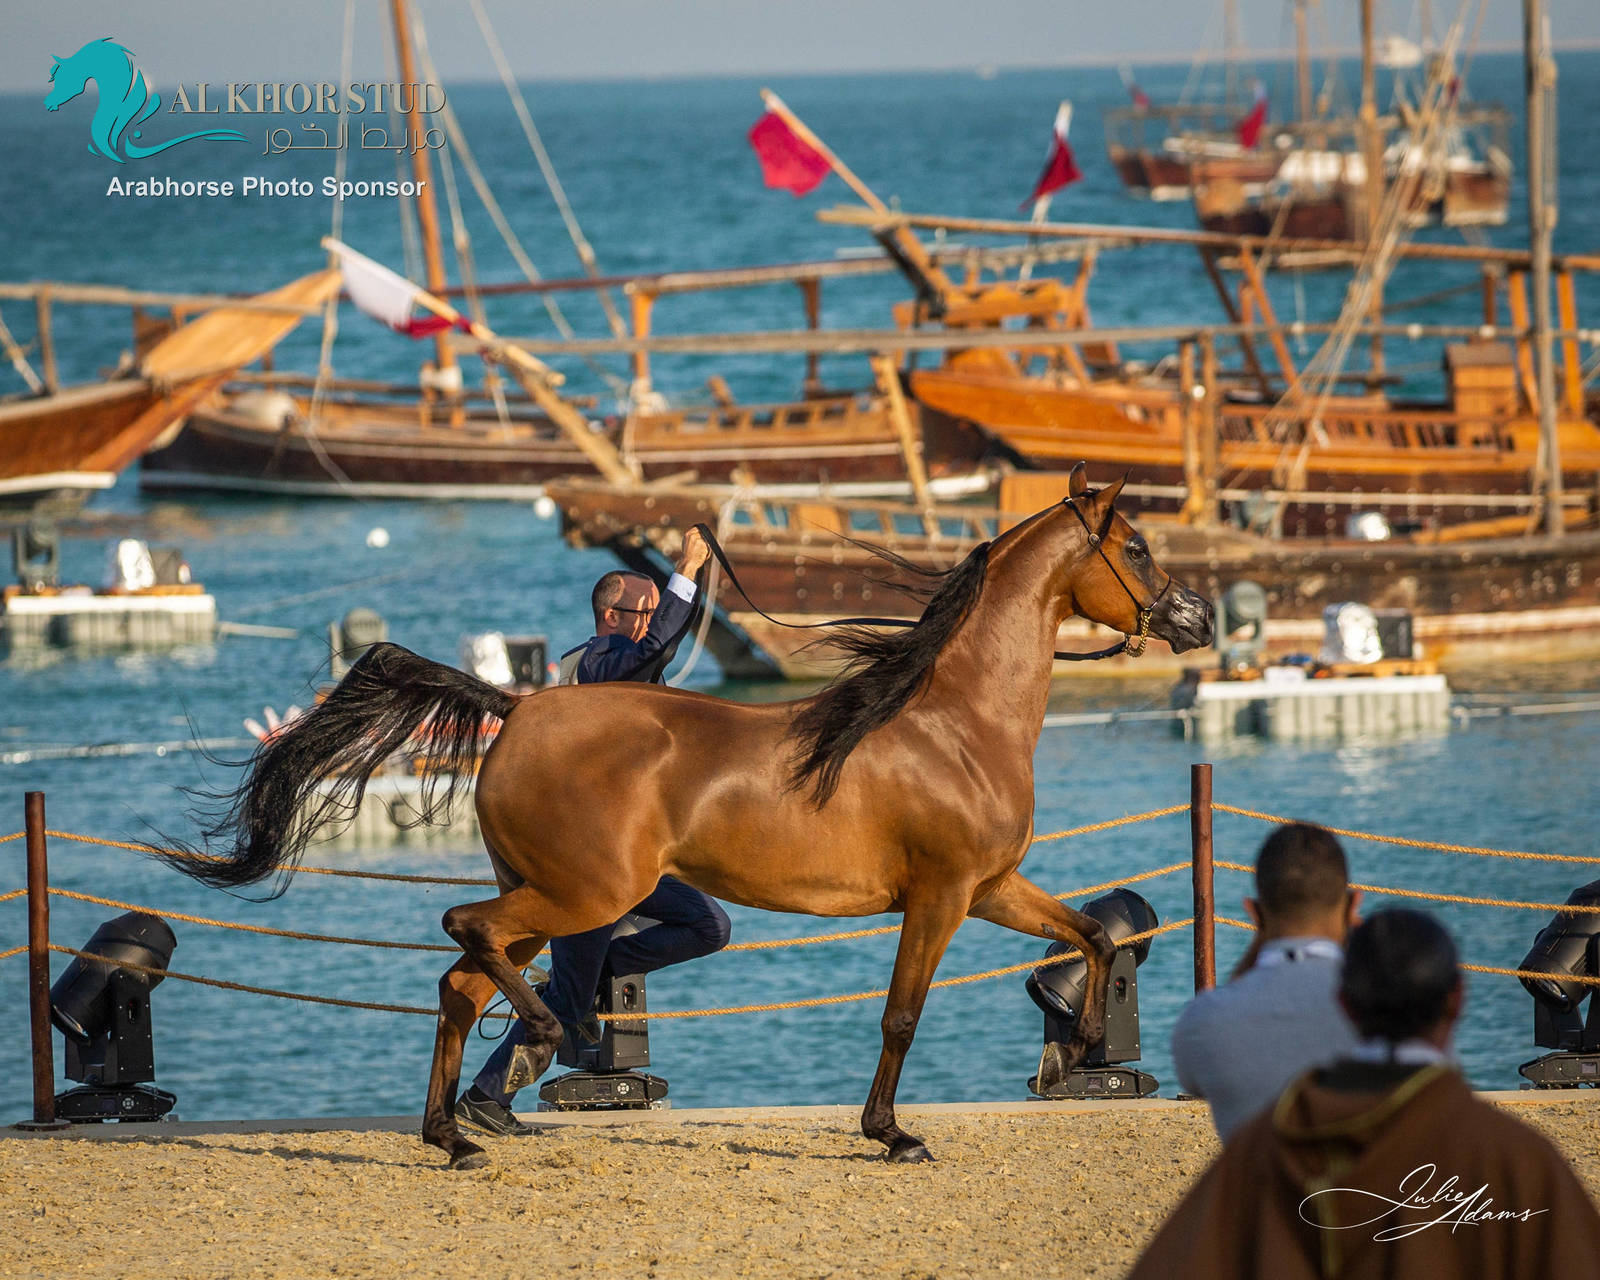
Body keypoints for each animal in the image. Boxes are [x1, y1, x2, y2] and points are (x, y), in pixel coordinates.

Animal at [160, 466, 1213, 1169]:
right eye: (1135, 546)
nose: (1197, 619)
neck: (952, 719)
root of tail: (519, 708)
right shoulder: (942, 894)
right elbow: (902, 1016)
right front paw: (892, 1134)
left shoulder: (992, 887)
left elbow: (1090, 937)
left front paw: (1076, 1051)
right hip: (584, 892)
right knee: (469, 936)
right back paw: (539, 1039)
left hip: (549, 890)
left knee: (459, 982)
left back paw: (455, 1133)